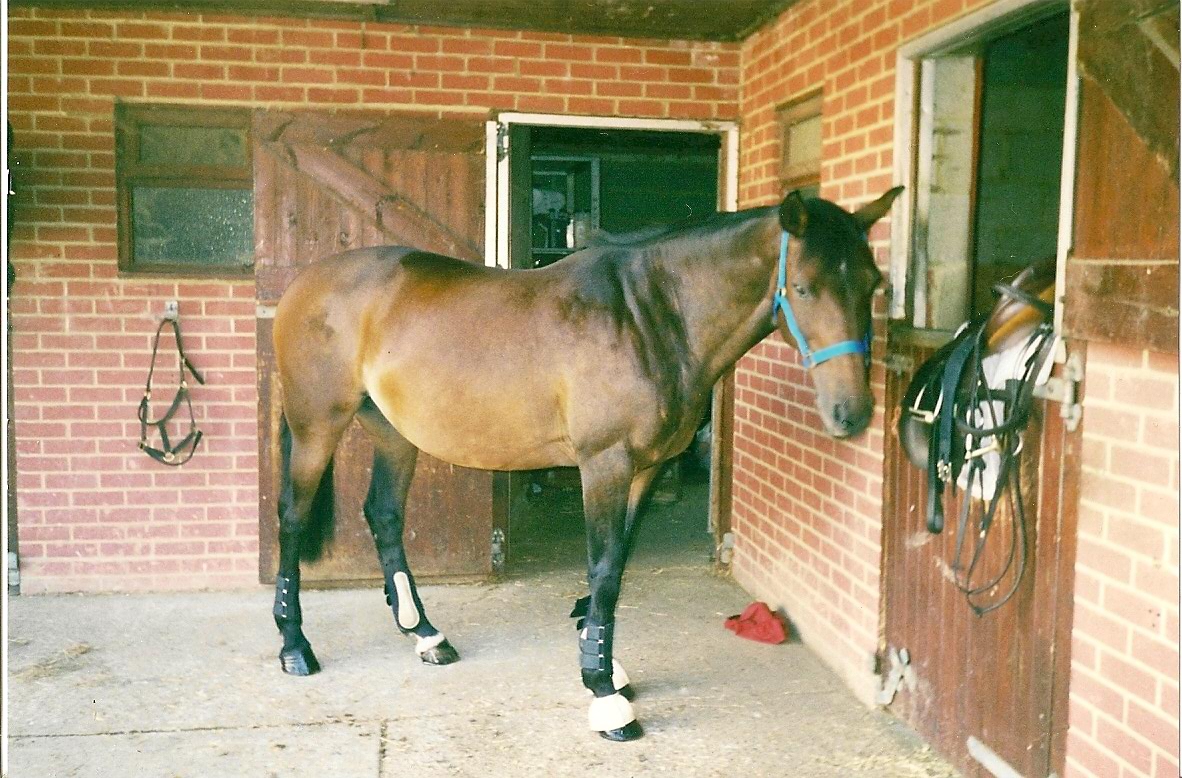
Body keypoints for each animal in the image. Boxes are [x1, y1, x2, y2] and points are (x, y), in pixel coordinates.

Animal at [268, 184, 898, 737]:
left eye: (874, 283)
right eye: (806, 287)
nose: (852, 413)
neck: (653, 315)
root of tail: (304, 284)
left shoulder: (645, 469)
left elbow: (615, 568)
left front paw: (608, 668)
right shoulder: (605, 465)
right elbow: (603, 566)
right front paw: (604, 696)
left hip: (394, 435)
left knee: (384, 516)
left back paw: (426, 636)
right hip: (317, 427)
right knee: (293, 519)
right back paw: (295, 647)